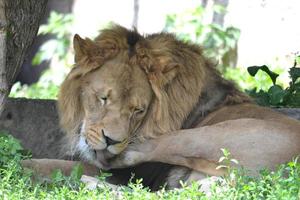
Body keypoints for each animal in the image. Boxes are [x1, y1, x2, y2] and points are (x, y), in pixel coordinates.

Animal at [22, 24, 300, 189]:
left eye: (138, 110)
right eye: (103, 98)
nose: (112, 141)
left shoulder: (133, 170)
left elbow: (60, 165)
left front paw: (23, 167)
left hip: (208, 136)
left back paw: (90, 182)